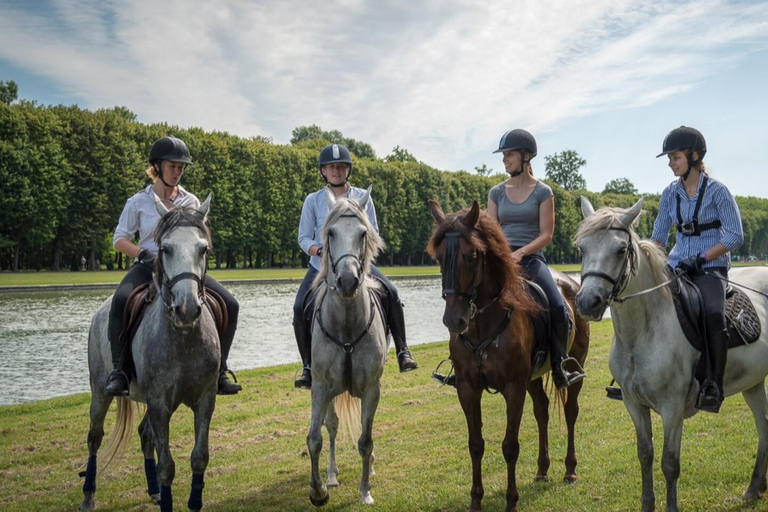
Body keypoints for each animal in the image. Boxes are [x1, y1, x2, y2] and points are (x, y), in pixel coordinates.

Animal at [80, 196, 220, 512]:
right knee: (95, 437)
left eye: (203, 249)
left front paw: (192, 501)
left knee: (145, 435)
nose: (186, 308)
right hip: (100, 391)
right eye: (165, 248)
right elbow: (167, 464)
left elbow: (199, 457)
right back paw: (89, 494)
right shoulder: (159, 403)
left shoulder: (205, 399)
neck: (182, 340)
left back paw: (154, 490)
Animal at [306, 186, 390, 506]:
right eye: (330, 233)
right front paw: (318, 491)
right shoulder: (320, 386)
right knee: (331, 425)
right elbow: (315, 438)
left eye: (363, 233)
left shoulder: (371, 388)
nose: (347, 281)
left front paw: (365, 491)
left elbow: (365, 440)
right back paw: (331, 475)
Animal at [426, 199, 588, 512]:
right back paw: (542, 470)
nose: (454, 320)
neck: (482, 325)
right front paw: (476, 500)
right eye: (438, 257)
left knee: (570, 411)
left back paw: (570, 471)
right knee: (542, 411)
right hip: (533, 379)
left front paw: (511, 501)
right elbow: (475, 444)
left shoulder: (513, 388)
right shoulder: (468, 389)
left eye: (472, 256)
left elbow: (510, 446)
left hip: (573, 371)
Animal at [572, 196, 768, 512]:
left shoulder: (672, 407)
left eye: (621, 249)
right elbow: (645, 455)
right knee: (763, 425)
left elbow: (670, 463)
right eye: (582, 248)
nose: (588, 302)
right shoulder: (634, 404)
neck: (642, 332)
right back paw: (755, 487)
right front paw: (647, 504)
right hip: (753, 382)